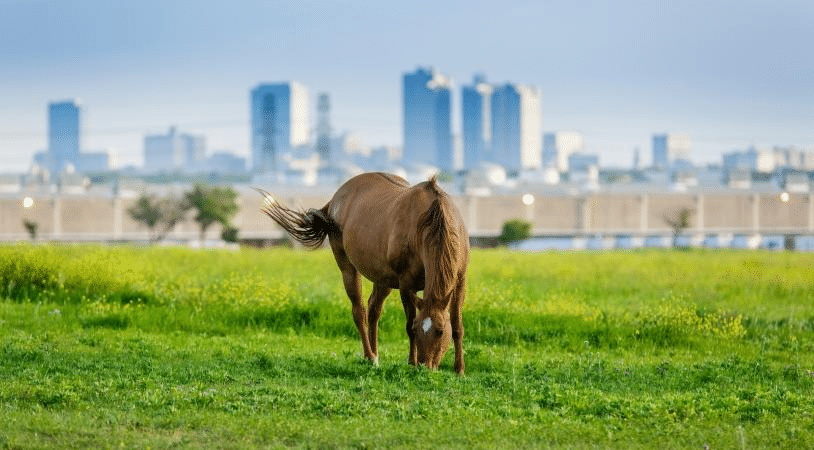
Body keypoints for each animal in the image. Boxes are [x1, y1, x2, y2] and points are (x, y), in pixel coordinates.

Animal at [258, 171, 468, 372]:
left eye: (441, 331)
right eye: (418, 330)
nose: (426, 366)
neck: (429, 222)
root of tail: (334, 200)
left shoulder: (459, 281)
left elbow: (457, 324)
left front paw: (459, 369)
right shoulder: (406, 284)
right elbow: (408, 323)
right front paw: (411, 363)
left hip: (383, 278)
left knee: (374, 310)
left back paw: (375, 355)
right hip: (348, 269)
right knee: (359, 311)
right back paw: (370, 356)